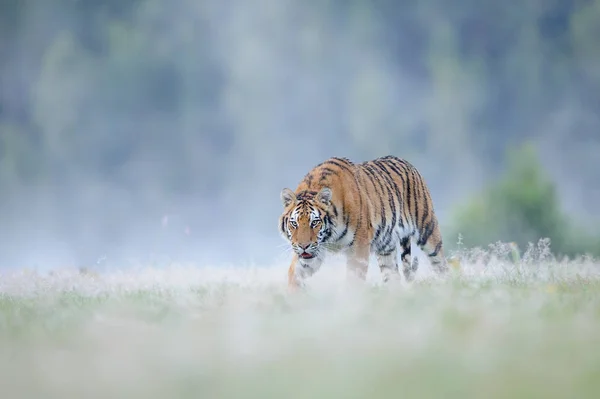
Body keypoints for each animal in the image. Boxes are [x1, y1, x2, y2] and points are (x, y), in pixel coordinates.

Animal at [278, 156, 448, 290]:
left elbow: (353, 282)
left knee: (441, 265)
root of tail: (408, 163)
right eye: (294, 223)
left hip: (428, 231)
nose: (303, 246)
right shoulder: (313, 252)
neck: (329, 236)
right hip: (386, 248)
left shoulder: (358, 247)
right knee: (393, 277)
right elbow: (294, 274)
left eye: (314, 223)